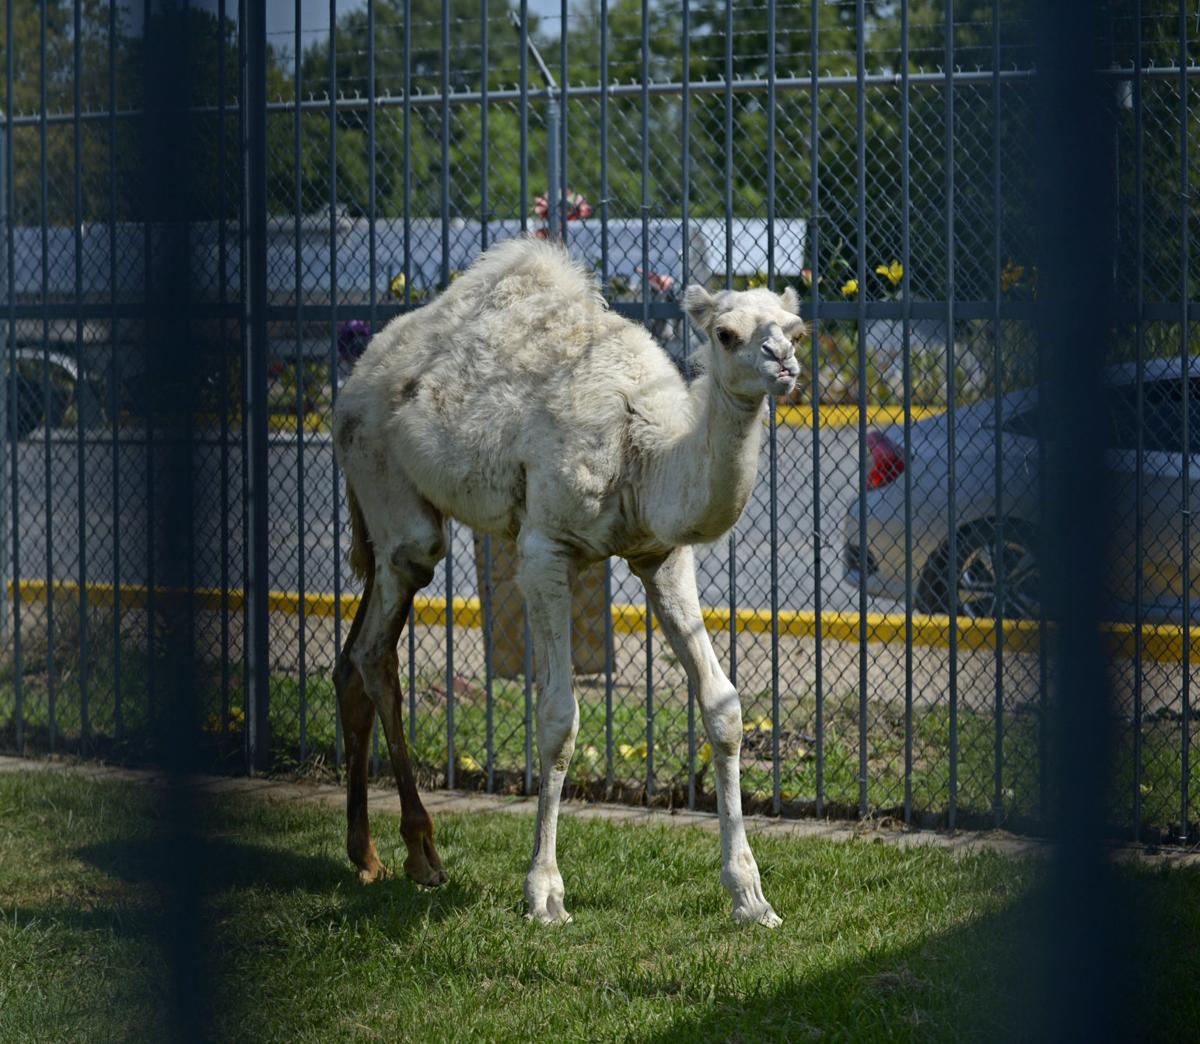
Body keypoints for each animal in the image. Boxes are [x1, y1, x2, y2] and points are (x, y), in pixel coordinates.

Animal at [332, 236, 803, 926]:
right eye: (725, 332)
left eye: (794, 328)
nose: (784, 363)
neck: (642, 449)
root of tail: (354, 379)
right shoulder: (545, 549)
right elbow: (558, 719)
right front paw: (545, 893)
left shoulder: (662, 554)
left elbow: (723, 706)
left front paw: (751, 896)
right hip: (389, 493)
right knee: (377, 648)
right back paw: (417, 857)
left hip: (385, 526)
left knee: (353, 659)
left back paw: (369, 856)